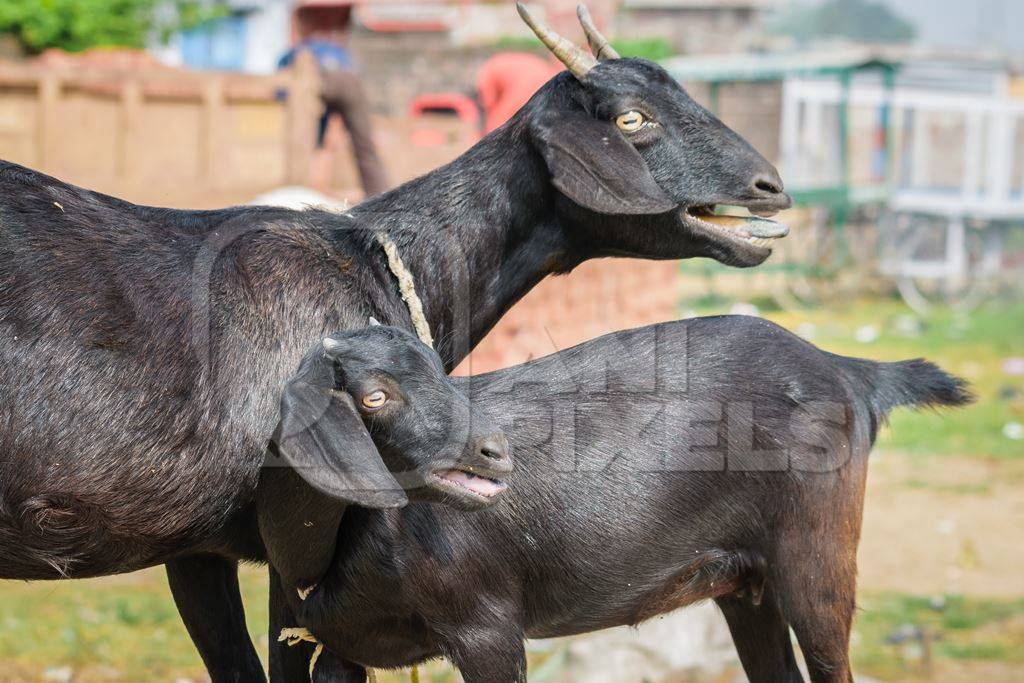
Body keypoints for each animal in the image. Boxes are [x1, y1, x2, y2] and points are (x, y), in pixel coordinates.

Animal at [264, 315, 966, 683]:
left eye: (440, 370)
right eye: (375, 395)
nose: (494, 451)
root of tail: (849, 371)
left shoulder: (484, 625)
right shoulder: (334, 646)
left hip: (816, 550)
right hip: (747, 582)